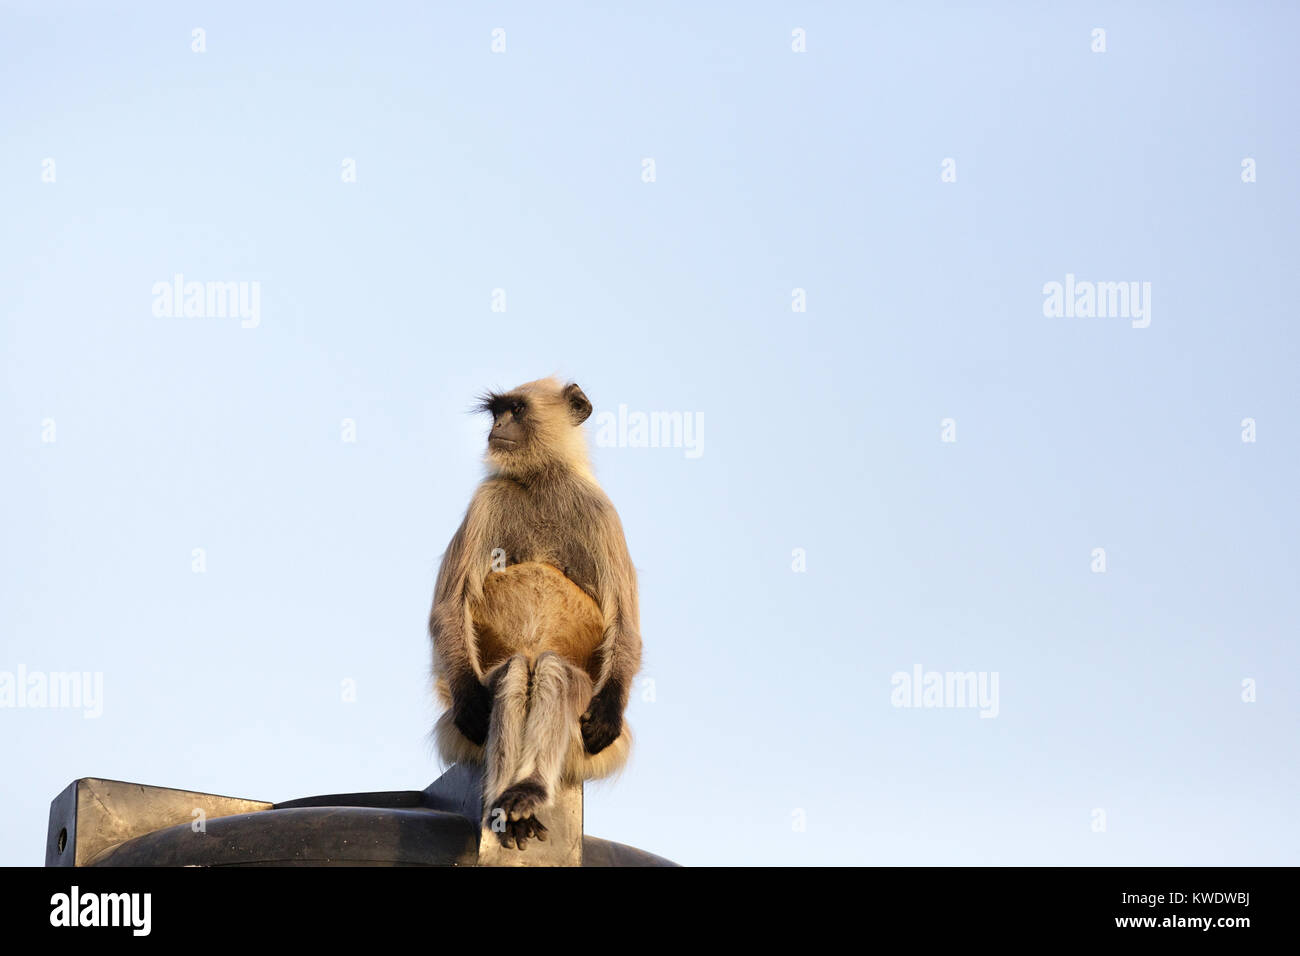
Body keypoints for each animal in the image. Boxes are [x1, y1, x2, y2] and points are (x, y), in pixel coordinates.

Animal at [429, 377, 641, 850]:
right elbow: (448, 608)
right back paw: (509, 802)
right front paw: (470, 703)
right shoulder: (487, 499)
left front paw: (609, 711)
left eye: (518, 410)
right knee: (512, 673)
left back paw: (527, 790)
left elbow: (626, 627)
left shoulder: (602, 512)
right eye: (497, 412)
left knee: (553, 670)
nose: (498, 427)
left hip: (589, 740)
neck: (541, 480)